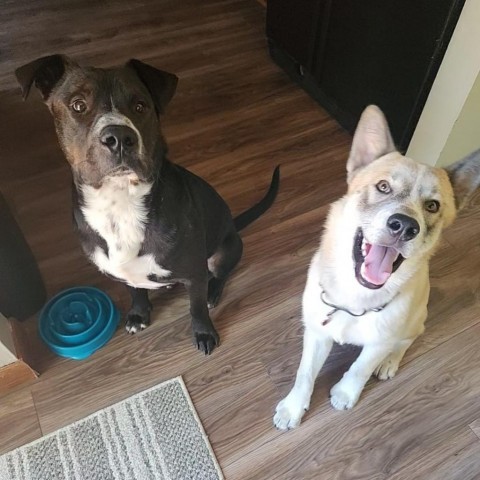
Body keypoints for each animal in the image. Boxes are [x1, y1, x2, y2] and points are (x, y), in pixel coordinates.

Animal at [16, 55, 280, 352]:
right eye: (78, 105)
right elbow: (135, 291)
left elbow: (196, 308)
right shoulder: (122, 271)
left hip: (225, 251)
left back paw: (214, 293)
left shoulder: (194, 274)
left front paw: (204, 332)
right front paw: (139, 315)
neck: (120, 204)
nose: (119, 137)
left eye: (140, 105)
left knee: (220, 275)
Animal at [274, 104, 480, 428]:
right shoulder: (317, 333)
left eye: (432, 206)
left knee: (408, 340)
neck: (356, 299)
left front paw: (346, 393)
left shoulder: (381, 341)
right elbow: (304, 373)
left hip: (417, 318)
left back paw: (390, 363)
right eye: (383, 186)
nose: (404, 226)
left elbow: (361, 367)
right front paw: (293, 408)